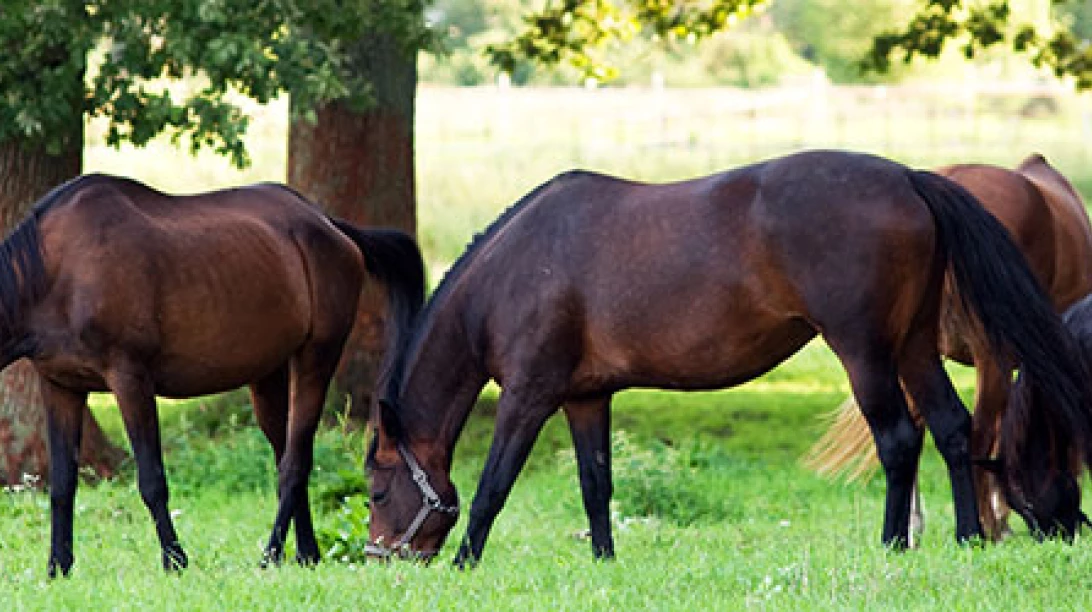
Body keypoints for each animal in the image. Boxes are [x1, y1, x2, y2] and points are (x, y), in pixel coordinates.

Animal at [0, 174, 425, 577]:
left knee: (294, 464)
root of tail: (330, 225)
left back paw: (271, 555)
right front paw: (58, 566)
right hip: (268, 376)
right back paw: (307, 554)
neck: (58, 272)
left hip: (316, 359)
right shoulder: (60, 386)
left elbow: (152, 480)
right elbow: (62, 484)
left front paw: (175, 561)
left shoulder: (130, 379)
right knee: (287, 456)